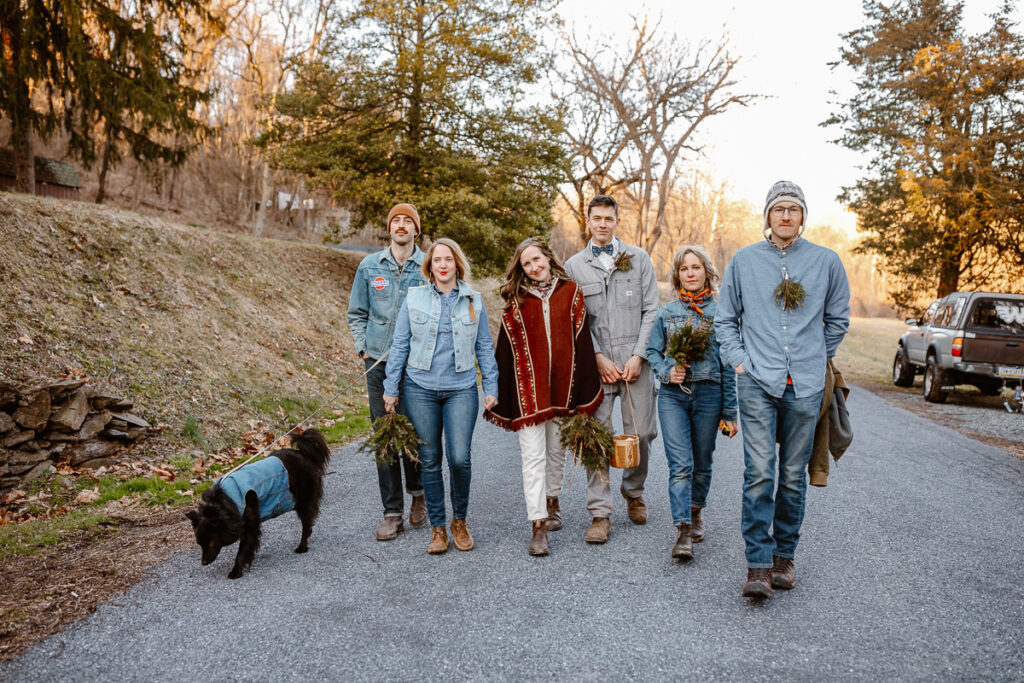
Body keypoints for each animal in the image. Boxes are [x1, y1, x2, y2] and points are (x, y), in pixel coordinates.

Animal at [184, 428, 327, 577]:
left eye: (211, 543)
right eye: (199, 544)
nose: (203, 563)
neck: (224, 505)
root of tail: (303, 454)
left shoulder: (249, 524)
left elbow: (242, 550)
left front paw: (236, 571)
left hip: (304, 500)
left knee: (307, 523)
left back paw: (302, 546)